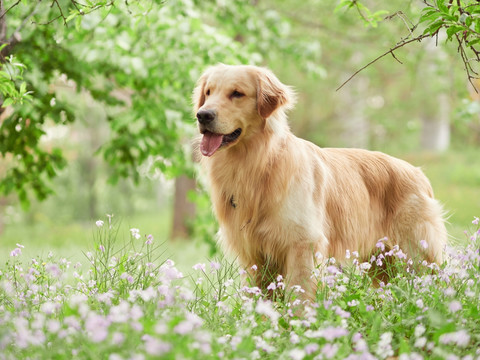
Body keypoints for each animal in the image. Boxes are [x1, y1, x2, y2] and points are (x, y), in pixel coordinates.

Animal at [192, 63, 446, 300]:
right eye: (208, 92)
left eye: (237, 93)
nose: (202, 115)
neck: (260, 163)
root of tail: (418, 173)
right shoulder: (253, 254)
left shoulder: (302, 244)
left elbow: (300, 297)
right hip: (381, 263)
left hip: (417, 255)